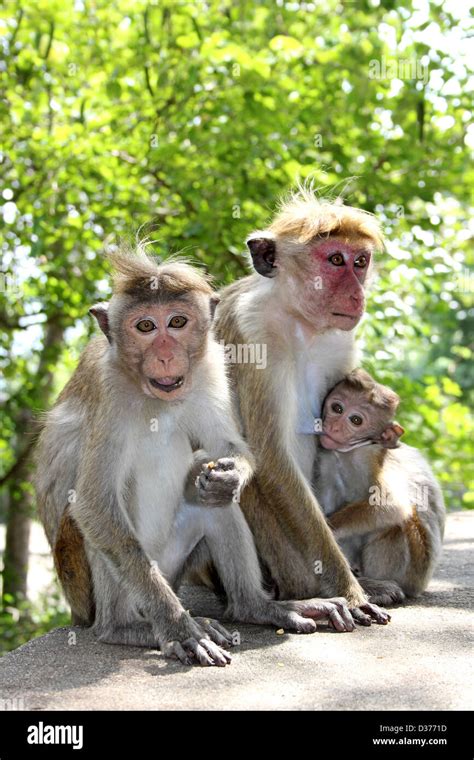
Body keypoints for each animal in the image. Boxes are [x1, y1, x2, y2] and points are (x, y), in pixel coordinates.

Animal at [35, 248, 360, 668]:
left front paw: (230, 474)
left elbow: (228, 447)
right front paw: (179, 629)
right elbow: (92, 504)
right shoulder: (106, 390)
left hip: (175, 561)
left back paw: (259, 607)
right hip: (95, 582)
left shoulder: (210, 367)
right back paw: (127, 627)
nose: (165, 355)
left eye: (177, 322)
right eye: (144, 326)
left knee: (211, 503)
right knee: (102, 522)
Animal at [212, 187, 398, 620]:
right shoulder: (252, 334)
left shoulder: (339, 339)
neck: (299, 321)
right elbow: (269, 457)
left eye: (360, 262)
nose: (357, 293)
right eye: (335, 260)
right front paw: (349, 590)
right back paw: (298, 594)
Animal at [313, 369, 446, 601]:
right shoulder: (328, 459)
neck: (348, 454)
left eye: (356, 420)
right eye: (337, 408)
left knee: (397, 523)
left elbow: (393, 504)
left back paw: (377, 586)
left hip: (412, 569)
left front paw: (329, 532)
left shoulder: (373, 457)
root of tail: (422, 584)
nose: (334, 427)